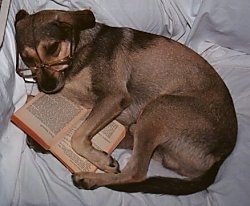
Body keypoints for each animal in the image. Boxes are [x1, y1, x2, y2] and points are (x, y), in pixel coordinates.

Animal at [14, 8, 237, 195]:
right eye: (27, 59)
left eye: (53, 48)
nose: (47, 87)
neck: (79, 49)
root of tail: (222, 155)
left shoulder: (113, 97)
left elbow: (77, 136)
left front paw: (102, 161)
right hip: (141, 127)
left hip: (158, 109)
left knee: (136, 173)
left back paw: (90, 178)